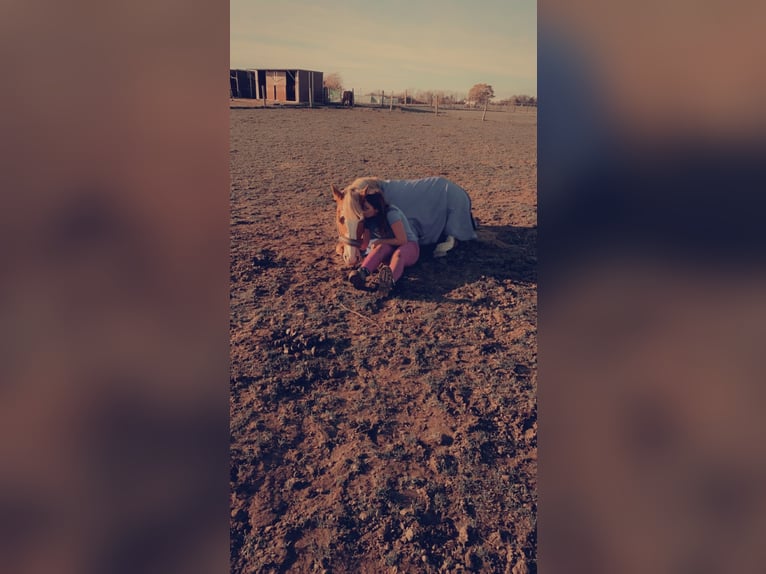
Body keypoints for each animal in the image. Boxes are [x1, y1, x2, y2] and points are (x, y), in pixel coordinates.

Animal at [332, 176, 476, 268]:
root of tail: (462, 191)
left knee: (453, 238)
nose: (351, 258)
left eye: (362, 219)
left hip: (454, 219)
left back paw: (440, 249)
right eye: (341, 219)